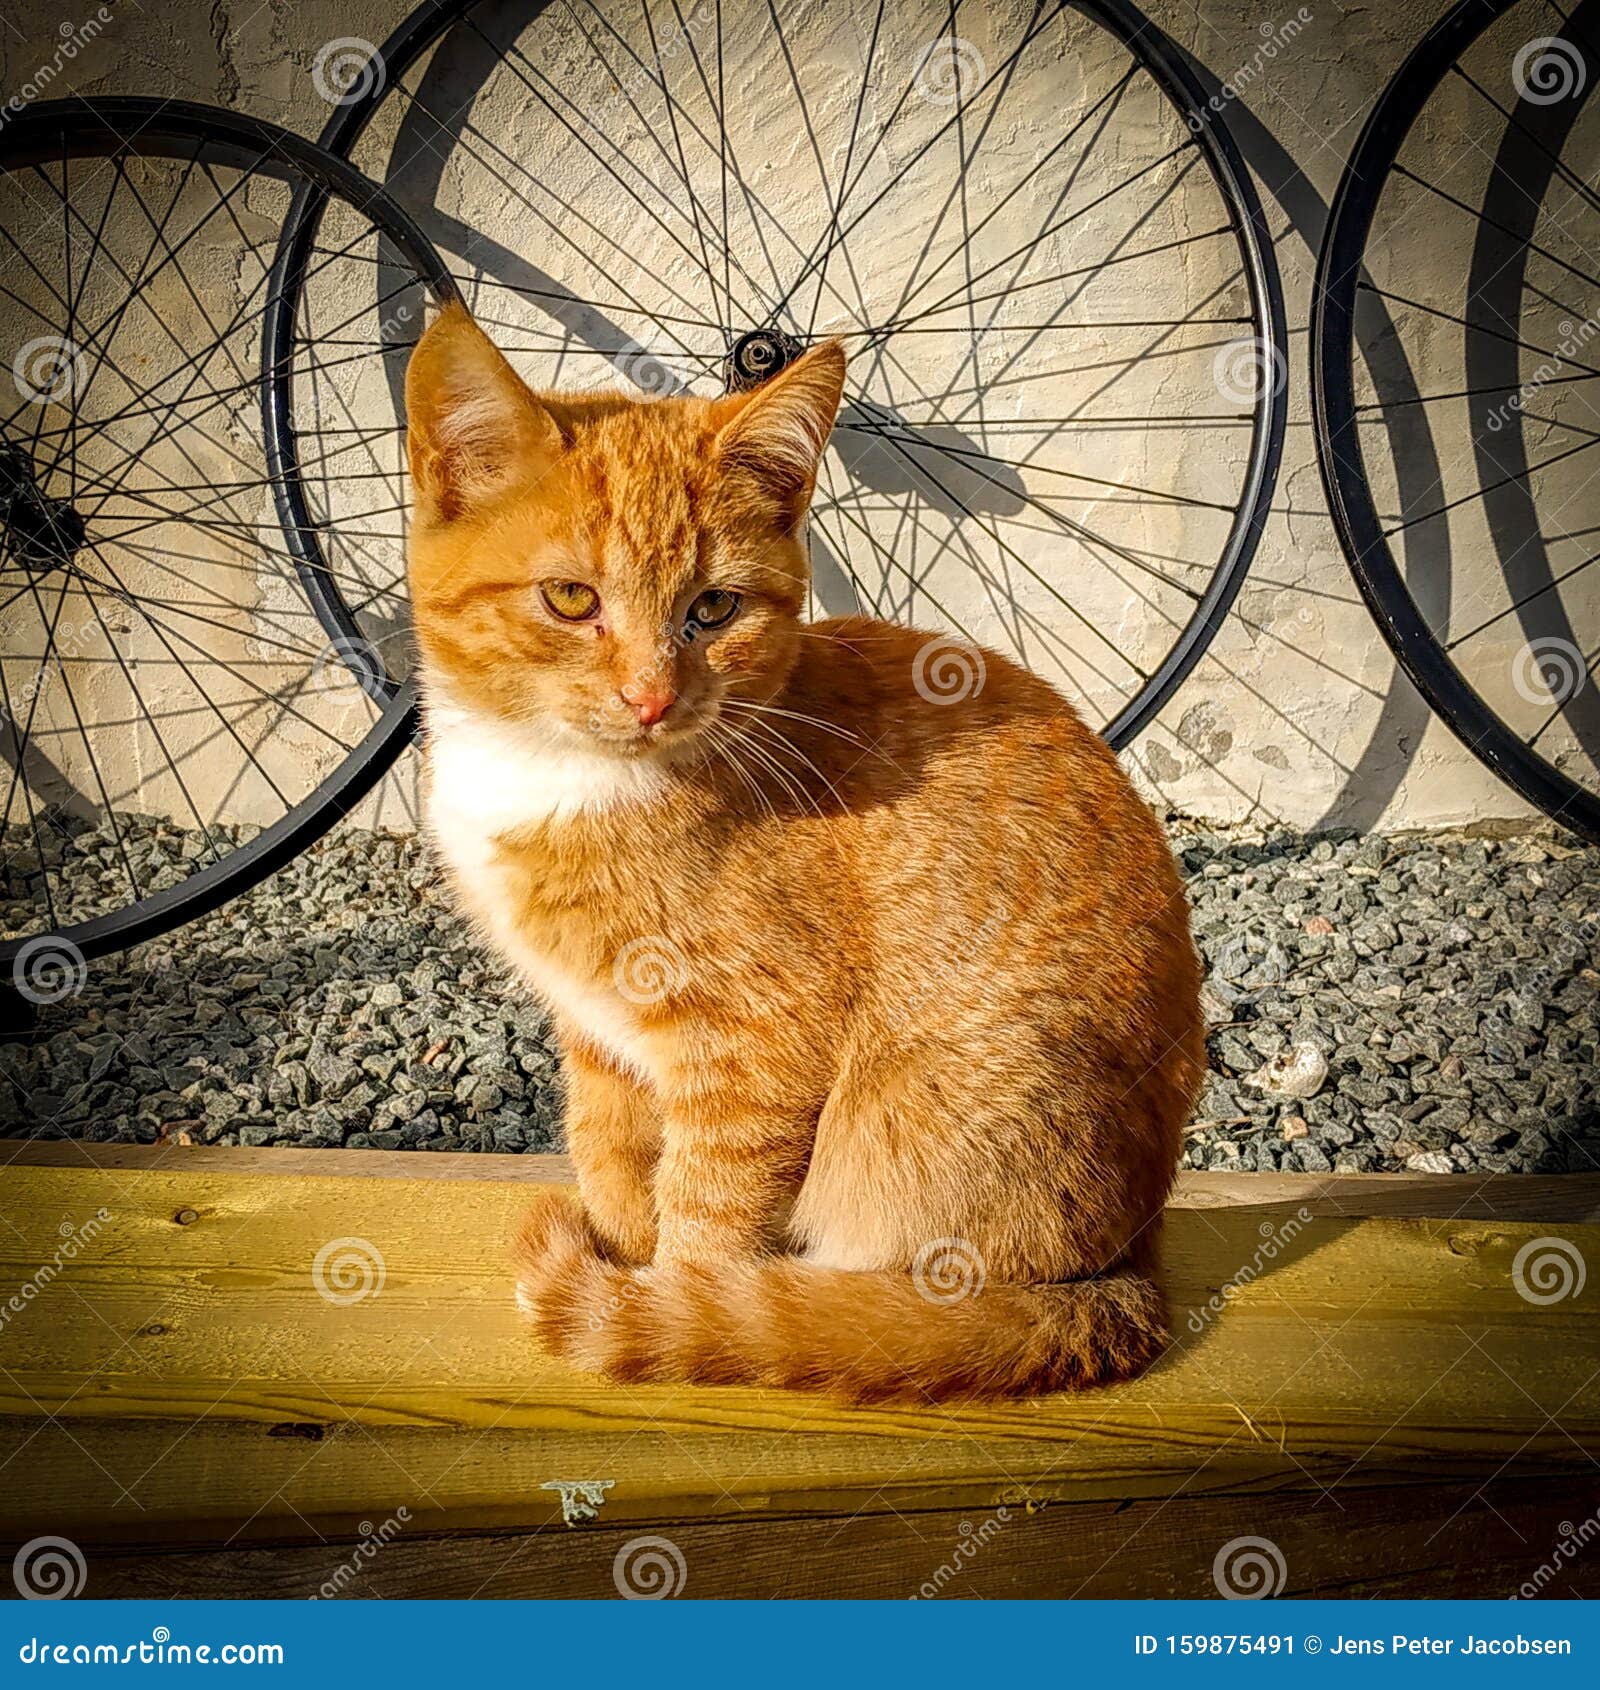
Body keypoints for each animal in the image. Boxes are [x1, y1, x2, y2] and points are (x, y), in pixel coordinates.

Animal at [407, 300, 1209, 1399]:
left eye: (713, 608)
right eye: (571, 599)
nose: (650, 698)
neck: (559, 776)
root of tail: (1131, 1269)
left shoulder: (755, 1045)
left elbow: (705, 1217)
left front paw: (667, 1313)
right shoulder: (599, 1036)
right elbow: (608, 1158)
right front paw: (614, 1257)